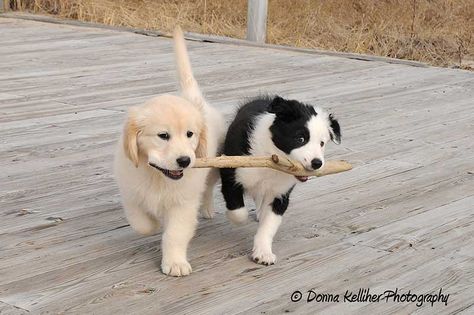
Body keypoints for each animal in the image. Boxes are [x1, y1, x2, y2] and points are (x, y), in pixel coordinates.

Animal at [115, 28, 226, 278]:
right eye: (163, 135)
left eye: (190, 134)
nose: (184, 160)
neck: (158, 176)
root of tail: (195, 100)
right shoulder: (131, 192)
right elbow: (141, 223)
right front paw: (154, 224)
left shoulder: (183, 203)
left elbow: (174, 234)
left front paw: (175, 263)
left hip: (213, 166)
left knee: (208, 188)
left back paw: (207, 208)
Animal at [221, 95, 340, 264]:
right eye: (300, 139)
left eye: (322, 143)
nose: (317, 163)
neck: (273, 161)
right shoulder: (231, 174)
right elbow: (238, 212)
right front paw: (238, 219)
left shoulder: (280, 194)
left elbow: (269, 224)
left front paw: (263, 253)